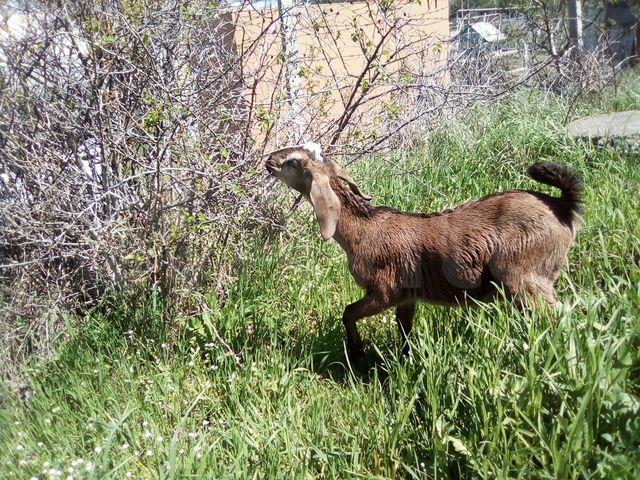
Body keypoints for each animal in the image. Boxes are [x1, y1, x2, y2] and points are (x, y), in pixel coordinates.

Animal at [262, 142, 584, 360]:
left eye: (293, 161)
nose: (268, 160)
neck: (362, 230)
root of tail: (562, 207)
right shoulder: (408, 295)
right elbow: (403, 328)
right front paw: (405, 358)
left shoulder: (385, 290)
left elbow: (348, 312)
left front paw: (358, 350)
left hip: (525, 275)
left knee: (559, 314)